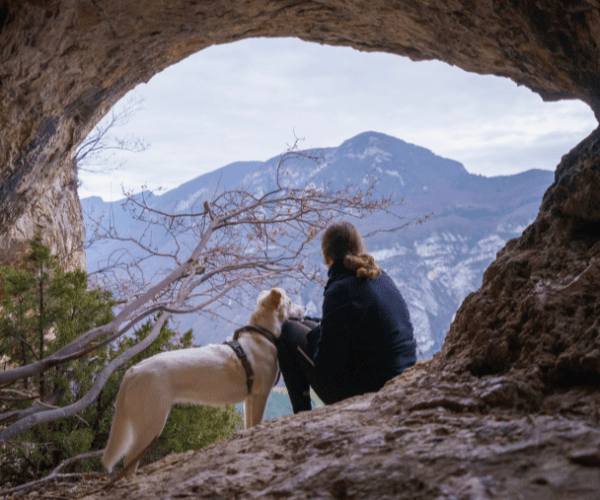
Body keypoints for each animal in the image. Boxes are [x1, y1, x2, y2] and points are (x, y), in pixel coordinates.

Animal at [102, 288, 304, 474]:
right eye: (290, 301)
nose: (304, 310)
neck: (261, 334)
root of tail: (133, 370)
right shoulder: (260, 396)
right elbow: (256, 423)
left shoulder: (249, 399)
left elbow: (249, 426)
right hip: (152, 423)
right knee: (129, 458)